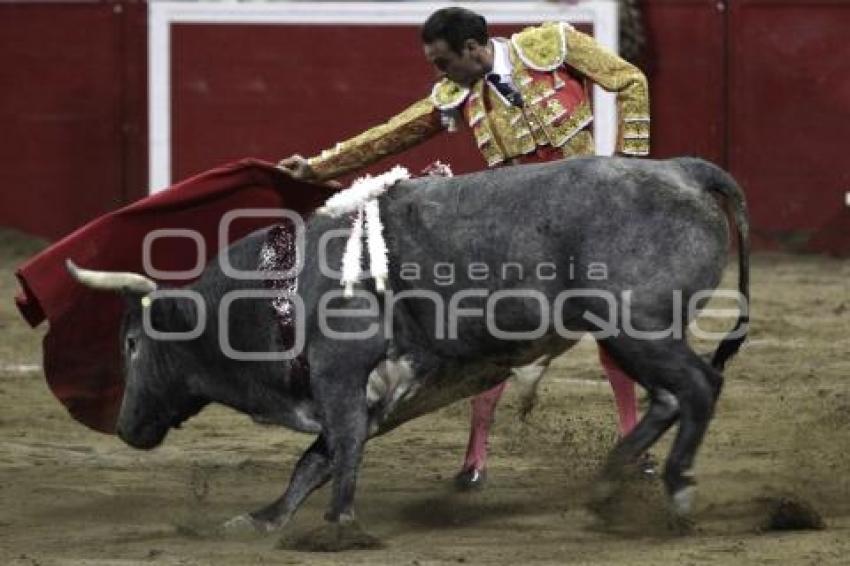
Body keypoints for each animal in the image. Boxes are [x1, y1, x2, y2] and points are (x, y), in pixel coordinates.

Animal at [66, 156, 744, 552]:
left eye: (132, 345)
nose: (124, 427)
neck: (276, 290)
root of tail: (685, 171)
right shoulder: (373, 396)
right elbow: (314, 462)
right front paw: (263, 519)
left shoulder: (341, 376)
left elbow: (337, 454)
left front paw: (338, 528)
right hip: (632, 334)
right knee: (668, 397)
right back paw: (607, 485)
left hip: (636, 327)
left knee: (698, 387)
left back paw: (676, 492)